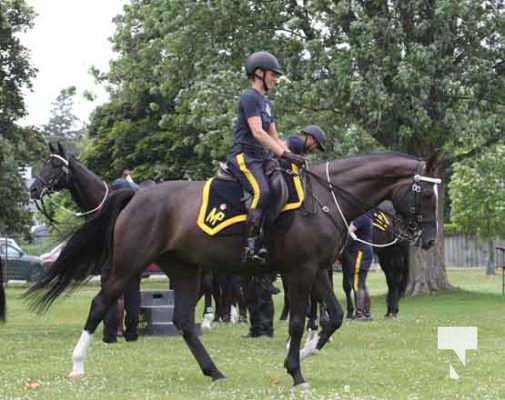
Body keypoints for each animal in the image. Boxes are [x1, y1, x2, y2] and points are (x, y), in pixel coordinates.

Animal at [25, 152, 440, 390]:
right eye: (425, 193)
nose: (431, 238)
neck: (327, 199)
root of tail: (138, 196)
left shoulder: (318, 269)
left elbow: (333, 316)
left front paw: (306, 353)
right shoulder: (300, 271)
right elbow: (298, 321)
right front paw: (296, 371)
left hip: (185, 270)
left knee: (183, 321)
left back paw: (214, 370)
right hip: (129, 265)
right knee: (100, 303)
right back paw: (77, 365)